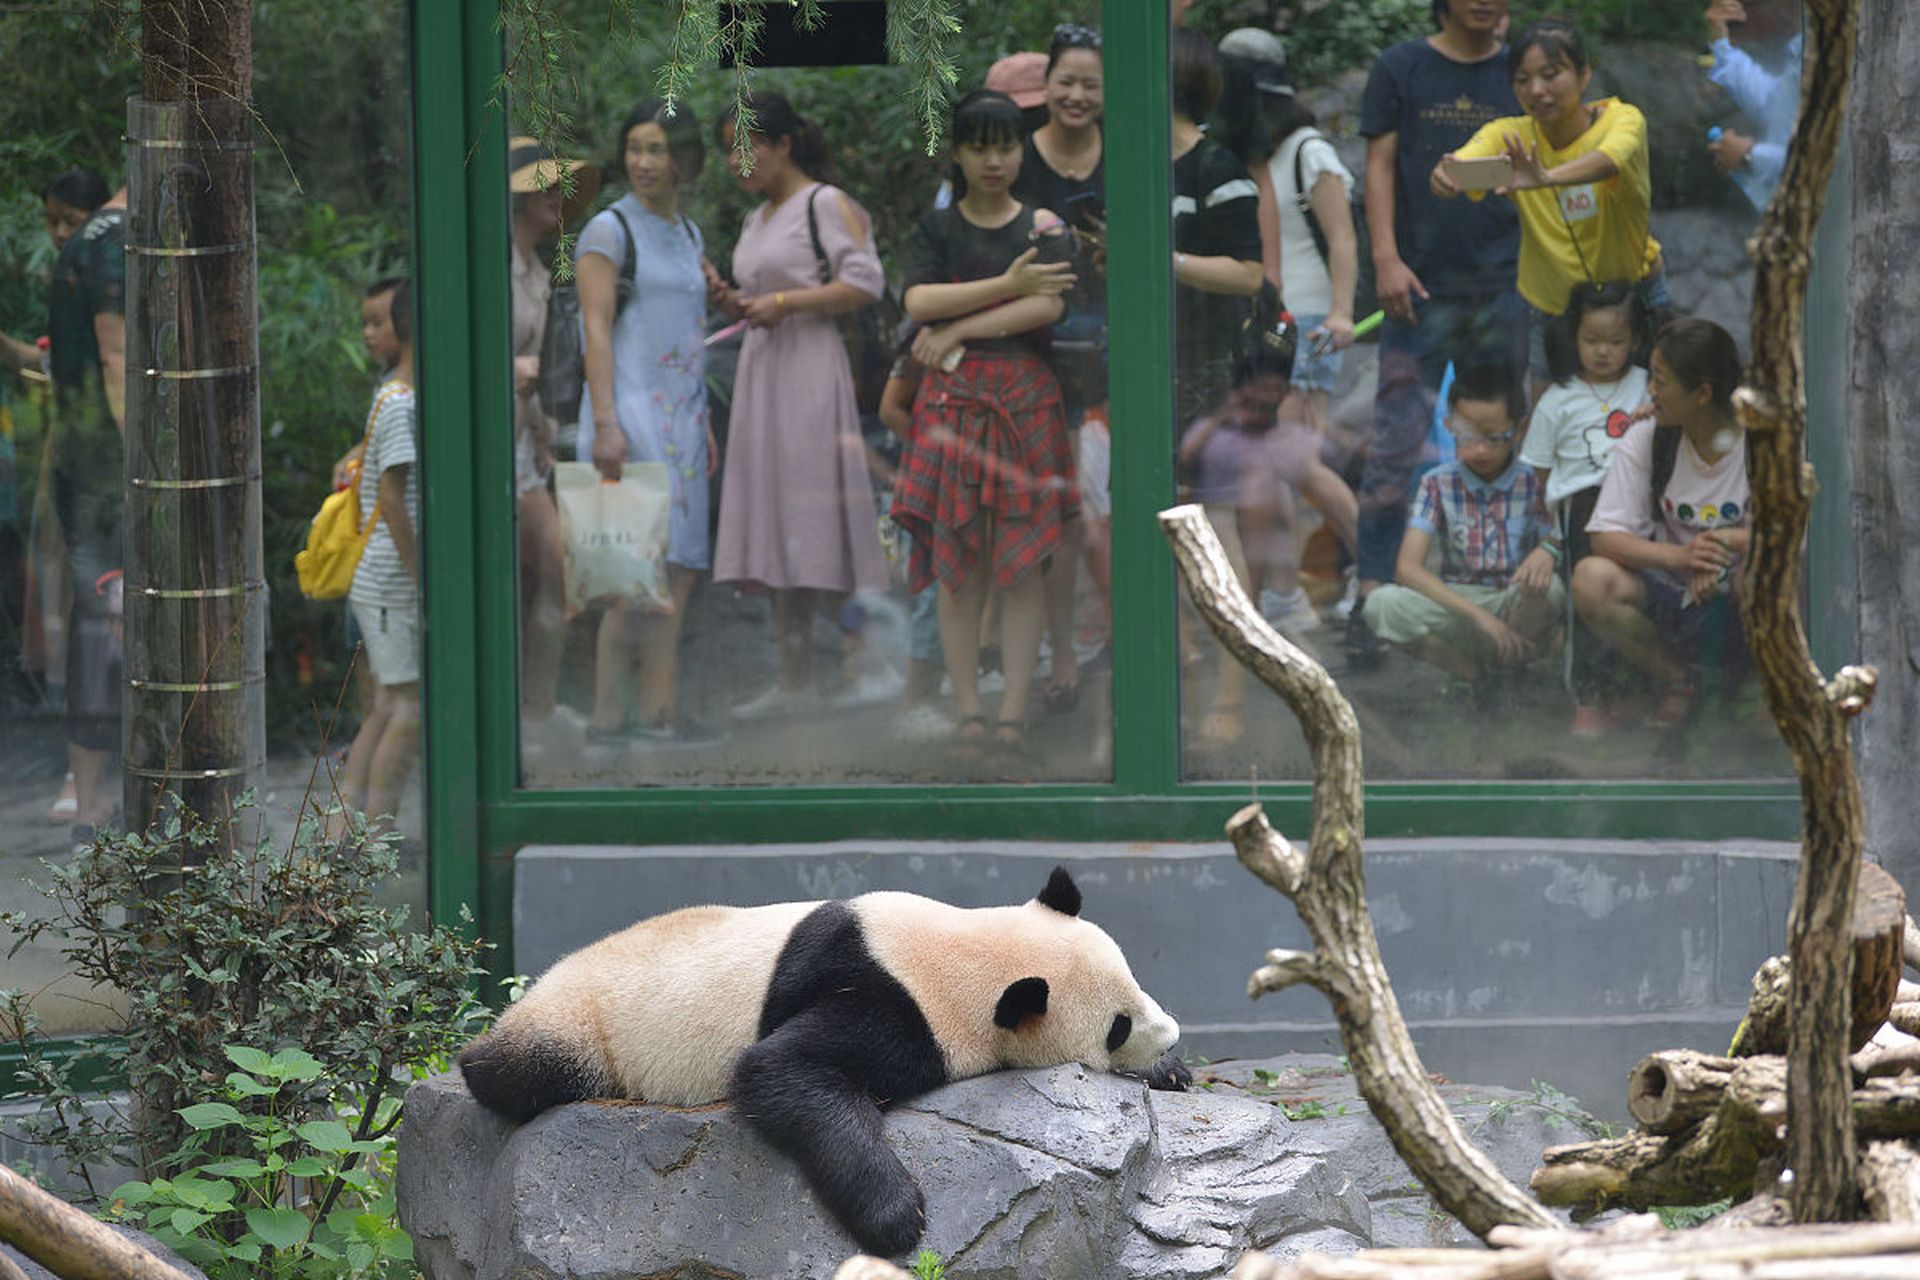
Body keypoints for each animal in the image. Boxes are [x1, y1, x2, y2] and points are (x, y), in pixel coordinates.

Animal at [460, 867, 1182, 1258]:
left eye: (1135, 980)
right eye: (1116, 1027)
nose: (1171, 1034)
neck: (965, 945)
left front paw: (1169, 1075)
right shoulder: (893, 1004)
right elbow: (783, 1071)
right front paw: (899, 1218)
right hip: (586, 1021)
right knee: (522, 1068)